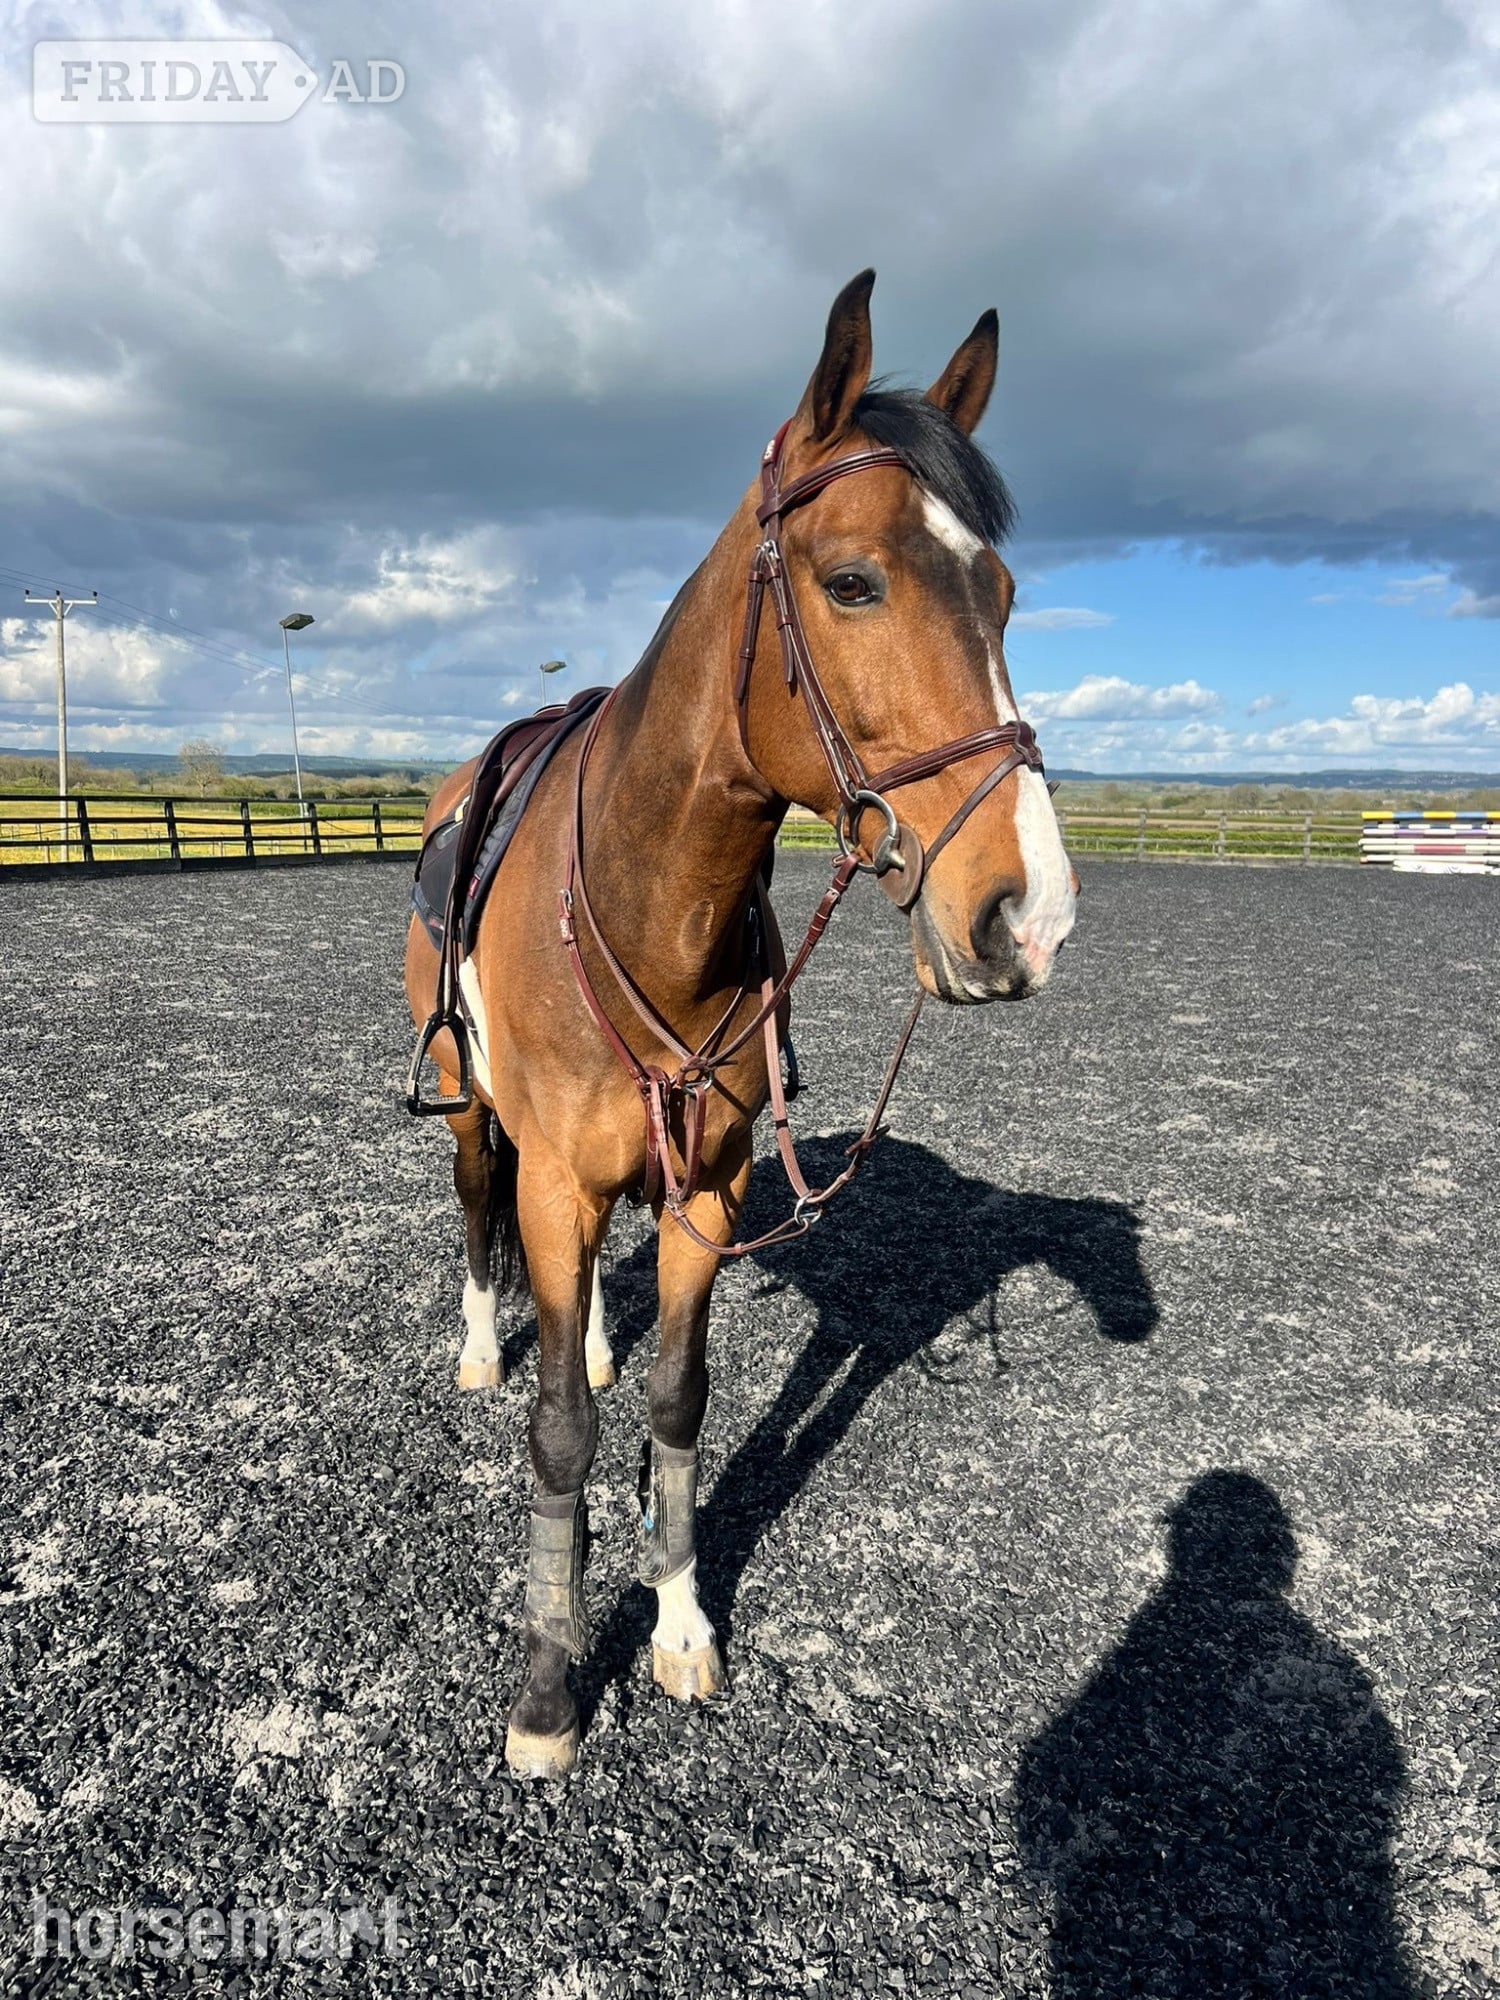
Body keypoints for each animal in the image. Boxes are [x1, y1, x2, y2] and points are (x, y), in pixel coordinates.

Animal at [404, 269, 1078, 1778]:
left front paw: (679, 1625)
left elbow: (672, 1404)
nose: (1030, 914)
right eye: (852, 580)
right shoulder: (551, 1177)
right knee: (477, 1208)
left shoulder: (705, 1191)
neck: (650, 895)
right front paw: (549, 1692)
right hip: (473, 1112)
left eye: (1004, 593)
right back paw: (479, 1345)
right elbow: (560, 1433)